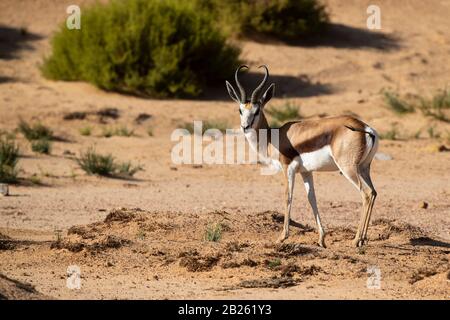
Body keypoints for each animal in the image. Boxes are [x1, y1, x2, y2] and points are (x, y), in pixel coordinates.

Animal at [227, 65, 378, 248]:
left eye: (257, 111)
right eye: (240, 110)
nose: (245, 126)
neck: (272, 138)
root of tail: (365, 128)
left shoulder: (288, 168)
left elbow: (288, 197)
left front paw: (282, 237)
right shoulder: (306, 172)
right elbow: (312, 198)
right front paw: (321, 239)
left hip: (348, 169)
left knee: (366, 193)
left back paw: (356, 240)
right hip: (364, 168)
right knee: (374, 192)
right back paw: (363, 239)